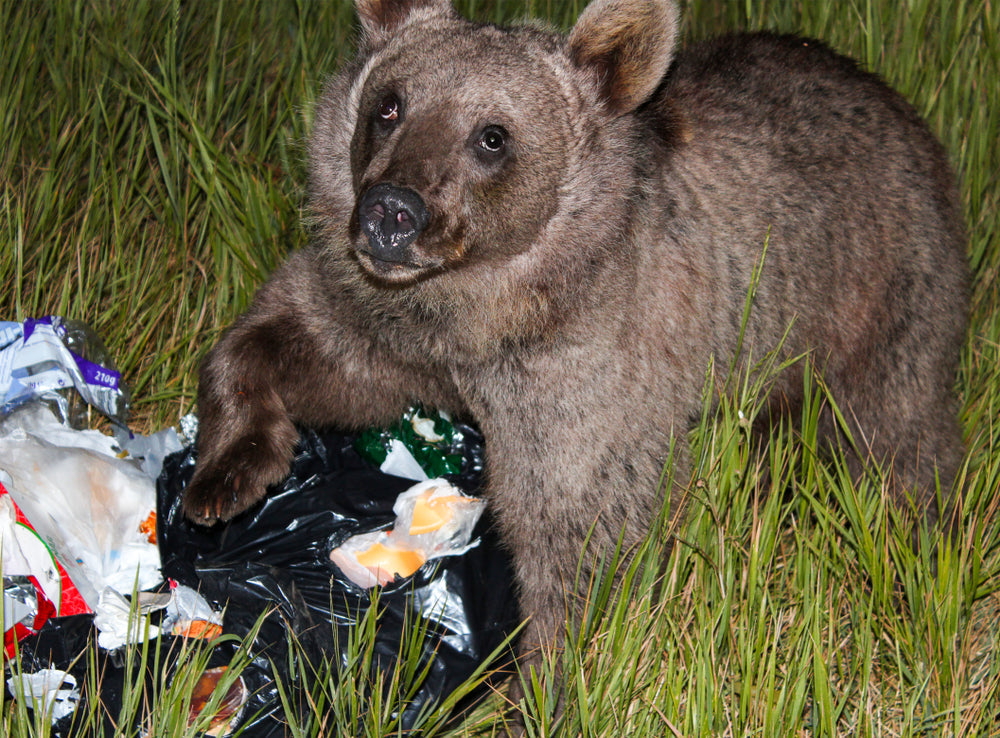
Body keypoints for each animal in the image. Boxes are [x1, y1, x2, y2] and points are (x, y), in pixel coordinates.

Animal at [183, 0, 968, 669]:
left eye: (492, 136)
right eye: (390, 105)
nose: (390, 213)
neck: (479, 309)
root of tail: (896, 103)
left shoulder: (586, 373)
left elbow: (581, 536)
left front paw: (543, 683)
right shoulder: (387, 328)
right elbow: (290, 344)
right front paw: (227, 471)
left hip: (881, 300)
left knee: (893, 442)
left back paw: (919, 541)